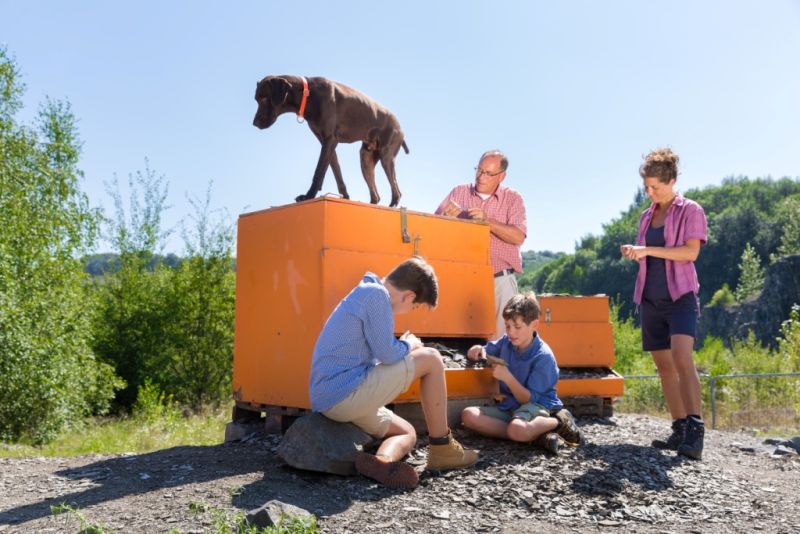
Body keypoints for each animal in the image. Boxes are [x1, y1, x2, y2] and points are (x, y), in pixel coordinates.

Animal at [253, 75, 410, 207]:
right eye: (256, 99)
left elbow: (318, 172)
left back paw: (392, 206)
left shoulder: (329, 140)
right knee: (376, 196)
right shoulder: (327, 143)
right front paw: (345, 196)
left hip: (386, 156)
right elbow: (336, 172)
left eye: (264, 98)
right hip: (366, 159)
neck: (308, 94)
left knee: (396, 190)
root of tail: (401, 128)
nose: (254, 123)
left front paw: (308, 195)